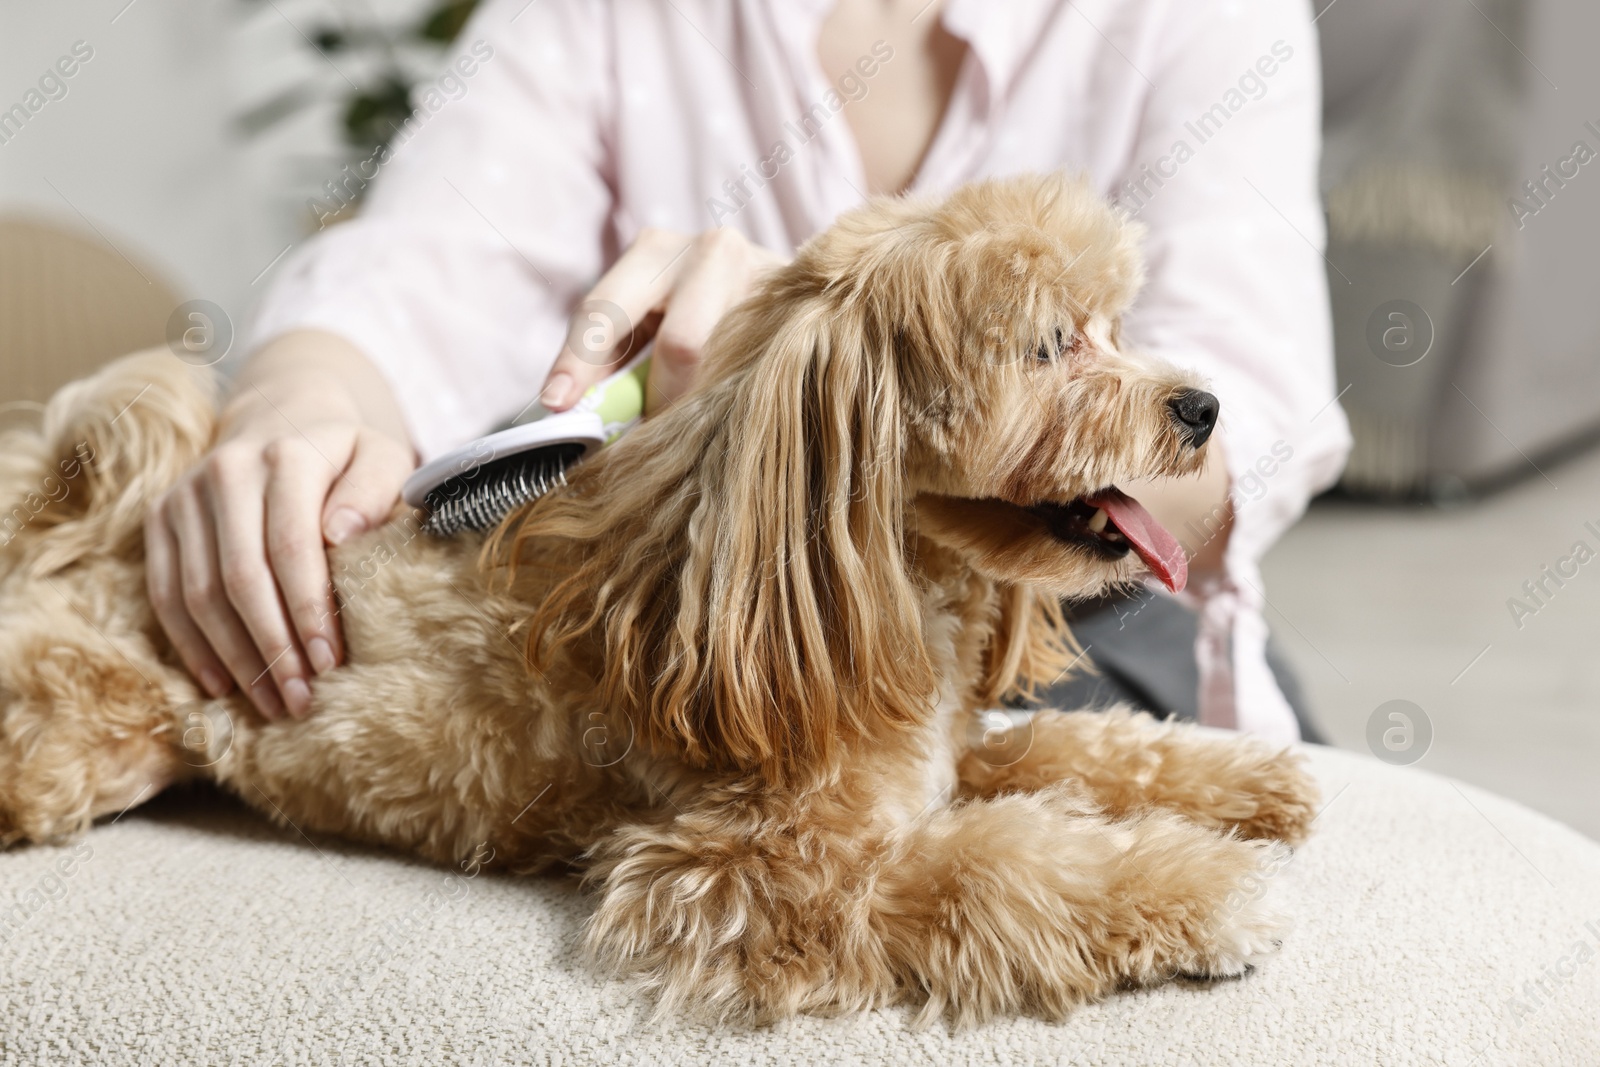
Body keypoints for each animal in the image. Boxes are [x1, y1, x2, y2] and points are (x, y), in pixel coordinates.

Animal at [0, 173, 1312, 1023]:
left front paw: (1244, 783)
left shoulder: (947, 753)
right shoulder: (751, 874)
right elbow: (1003, 866)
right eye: (1048, 346)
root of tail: (61, 545)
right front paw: (1200, 891)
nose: (1201, 407)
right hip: (78, 744)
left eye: (1111, 325)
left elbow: (1080, 744)